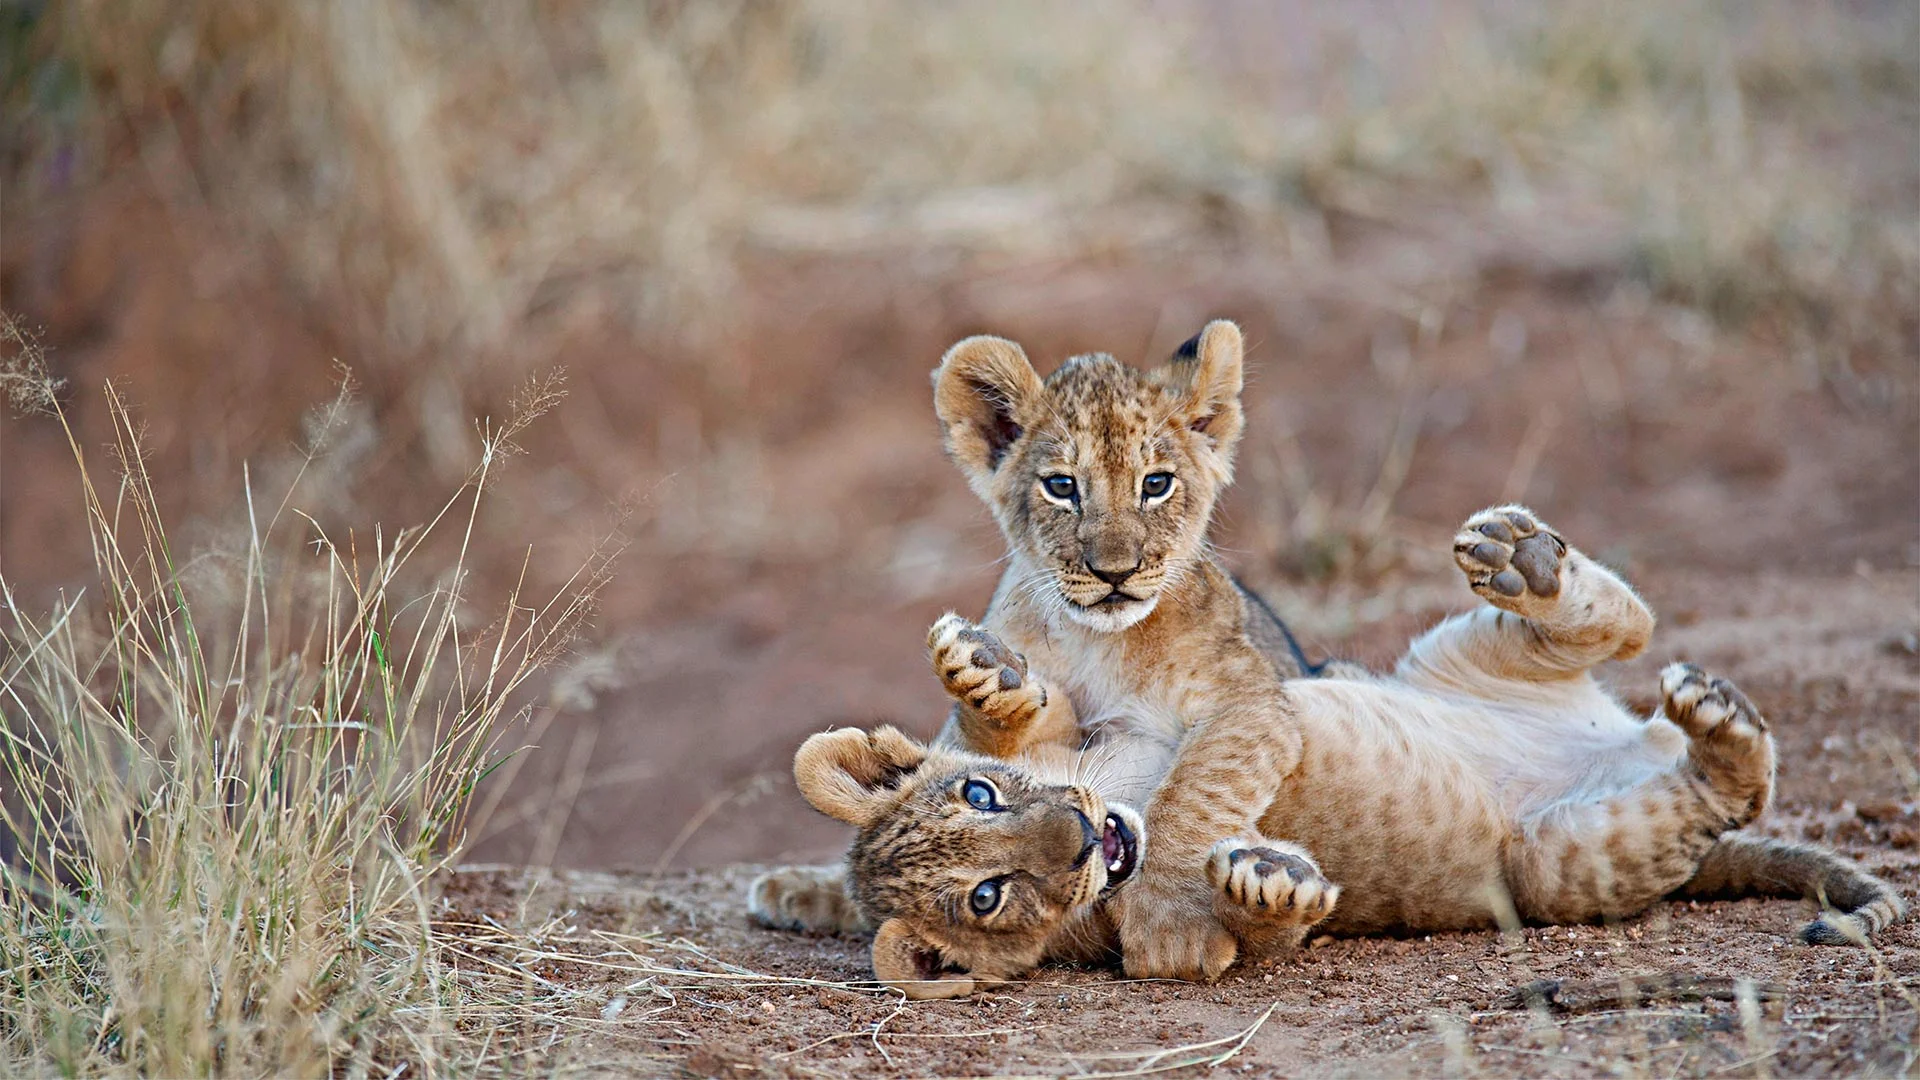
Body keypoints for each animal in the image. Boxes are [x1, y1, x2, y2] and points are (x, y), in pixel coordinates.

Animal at [748, 321, 1904, 998]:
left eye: (1158, 483)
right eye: (1061, 487)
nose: (1116, 572)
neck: (1099, 641)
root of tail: (1617, 738)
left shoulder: (1245, 703)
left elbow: (1181, 789)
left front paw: (983, 676)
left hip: (1420, 659)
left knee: (1621, 627)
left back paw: (1527, 564)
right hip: (1559, 857)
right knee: (1718, 779)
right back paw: (1714, 723)